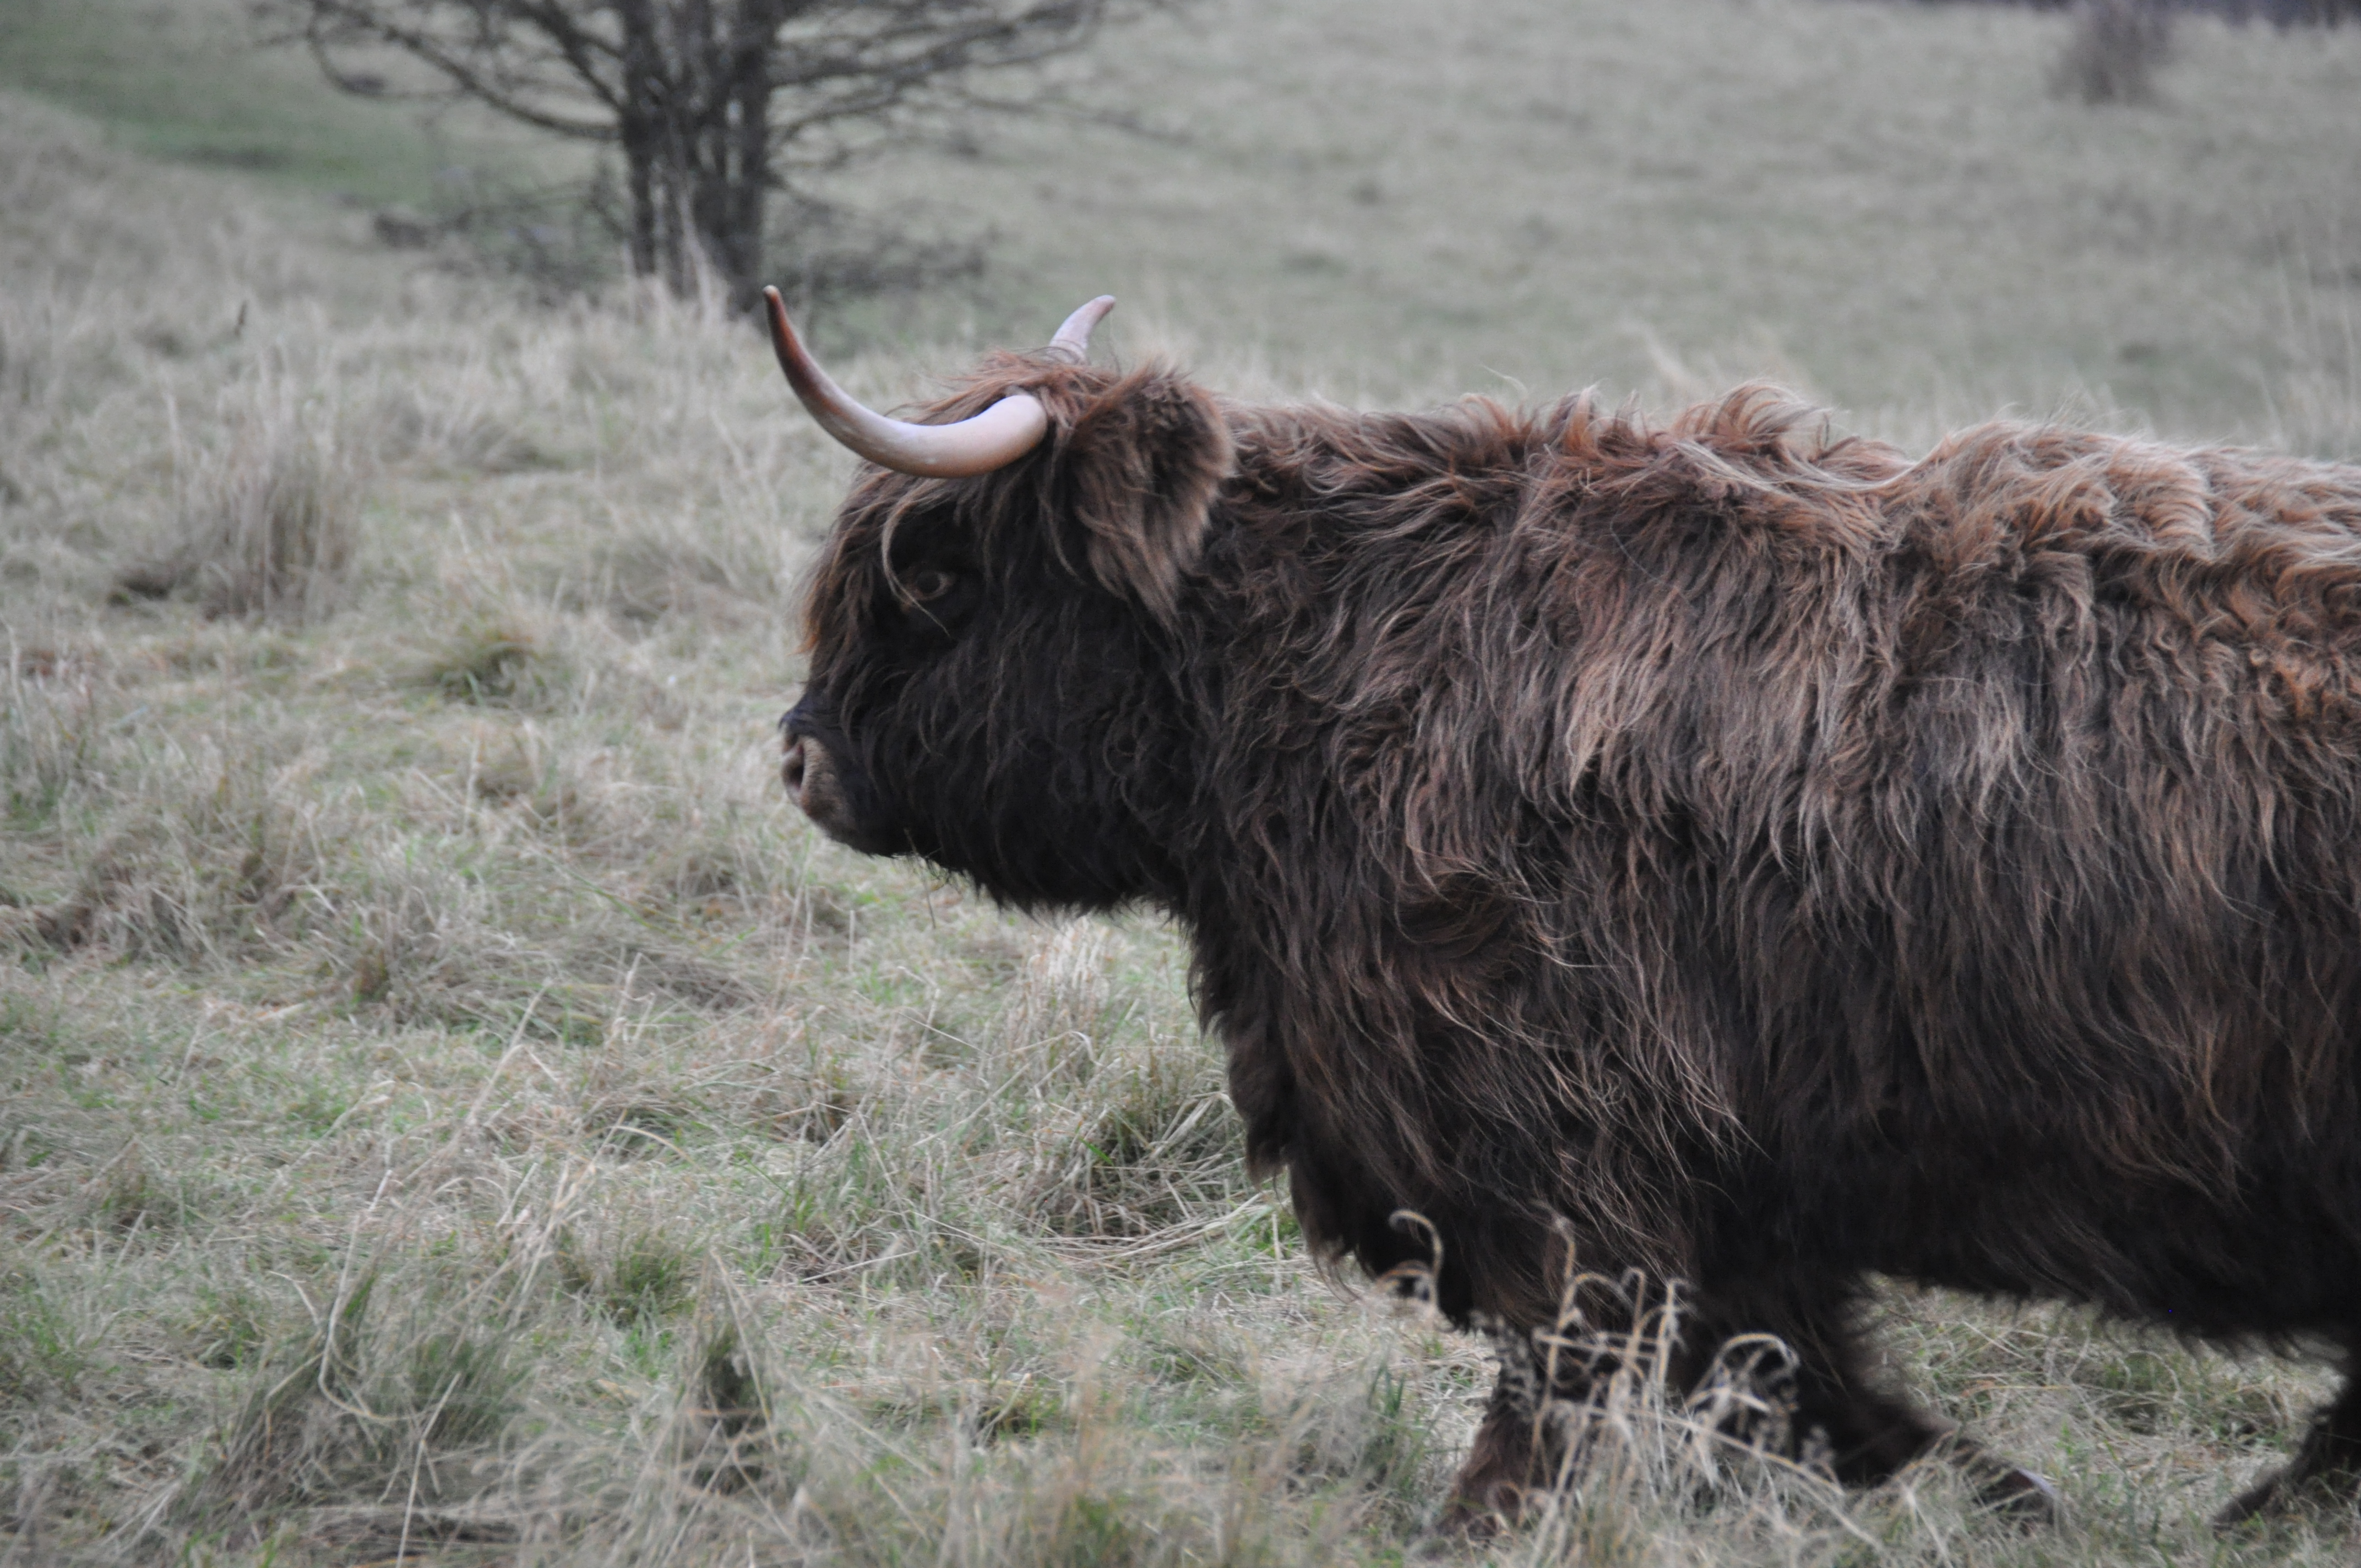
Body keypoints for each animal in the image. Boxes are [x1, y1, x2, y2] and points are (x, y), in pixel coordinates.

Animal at [764, 286, 2361, 1530]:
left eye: (935, 573)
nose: (799, 758)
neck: (1313, 673)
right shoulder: (1734, 1183)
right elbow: (1798, 1381)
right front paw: (1991, 1494)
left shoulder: (1553, 1129)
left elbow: (1570, 1377)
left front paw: (1477, 1523)